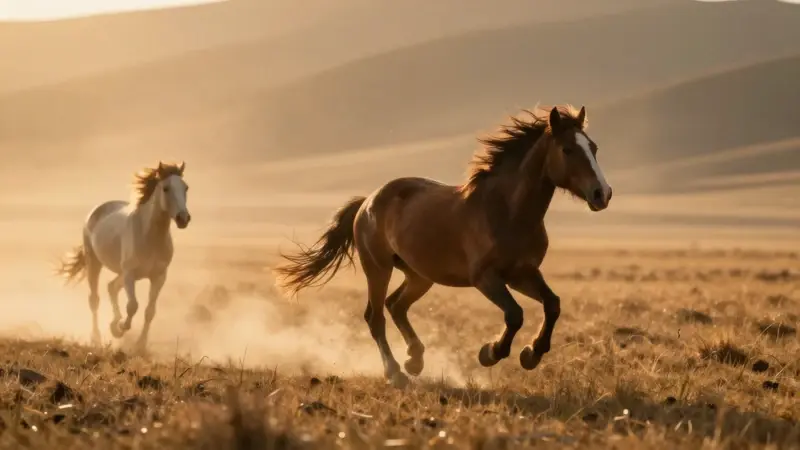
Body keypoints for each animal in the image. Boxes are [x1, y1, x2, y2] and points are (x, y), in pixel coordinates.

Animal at [56, 161, 192, 352]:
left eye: (185, 188)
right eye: (166, 188)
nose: (183, 218)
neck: (150, 236)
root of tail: (96, 210)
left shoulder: (158, 276)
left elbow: (150, 311)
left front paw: (139, 344)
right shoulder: (130, 274)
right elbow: (133, 306)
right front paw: (120, 329)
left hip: (121, 272)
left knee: (112, 287)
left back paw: (113, 324)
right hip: (94, 262)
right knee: (94, 299)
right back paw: (96, 338)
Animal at [274, 105, 612, 387]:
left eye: (594, 148)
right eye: (567, 149)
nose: (602, 194)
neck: (507, 211)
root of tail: (367, 201)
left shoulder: (523, 273)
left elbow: (552, 304)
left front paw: (531, 354)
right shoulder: (486, 278)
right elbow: (515, 314)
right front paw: (491, 352)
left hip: (420, 275)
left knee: (395, 305)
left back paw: (415, 359)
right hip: (378, 268)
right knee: (376, 316)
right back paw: (396, 372)